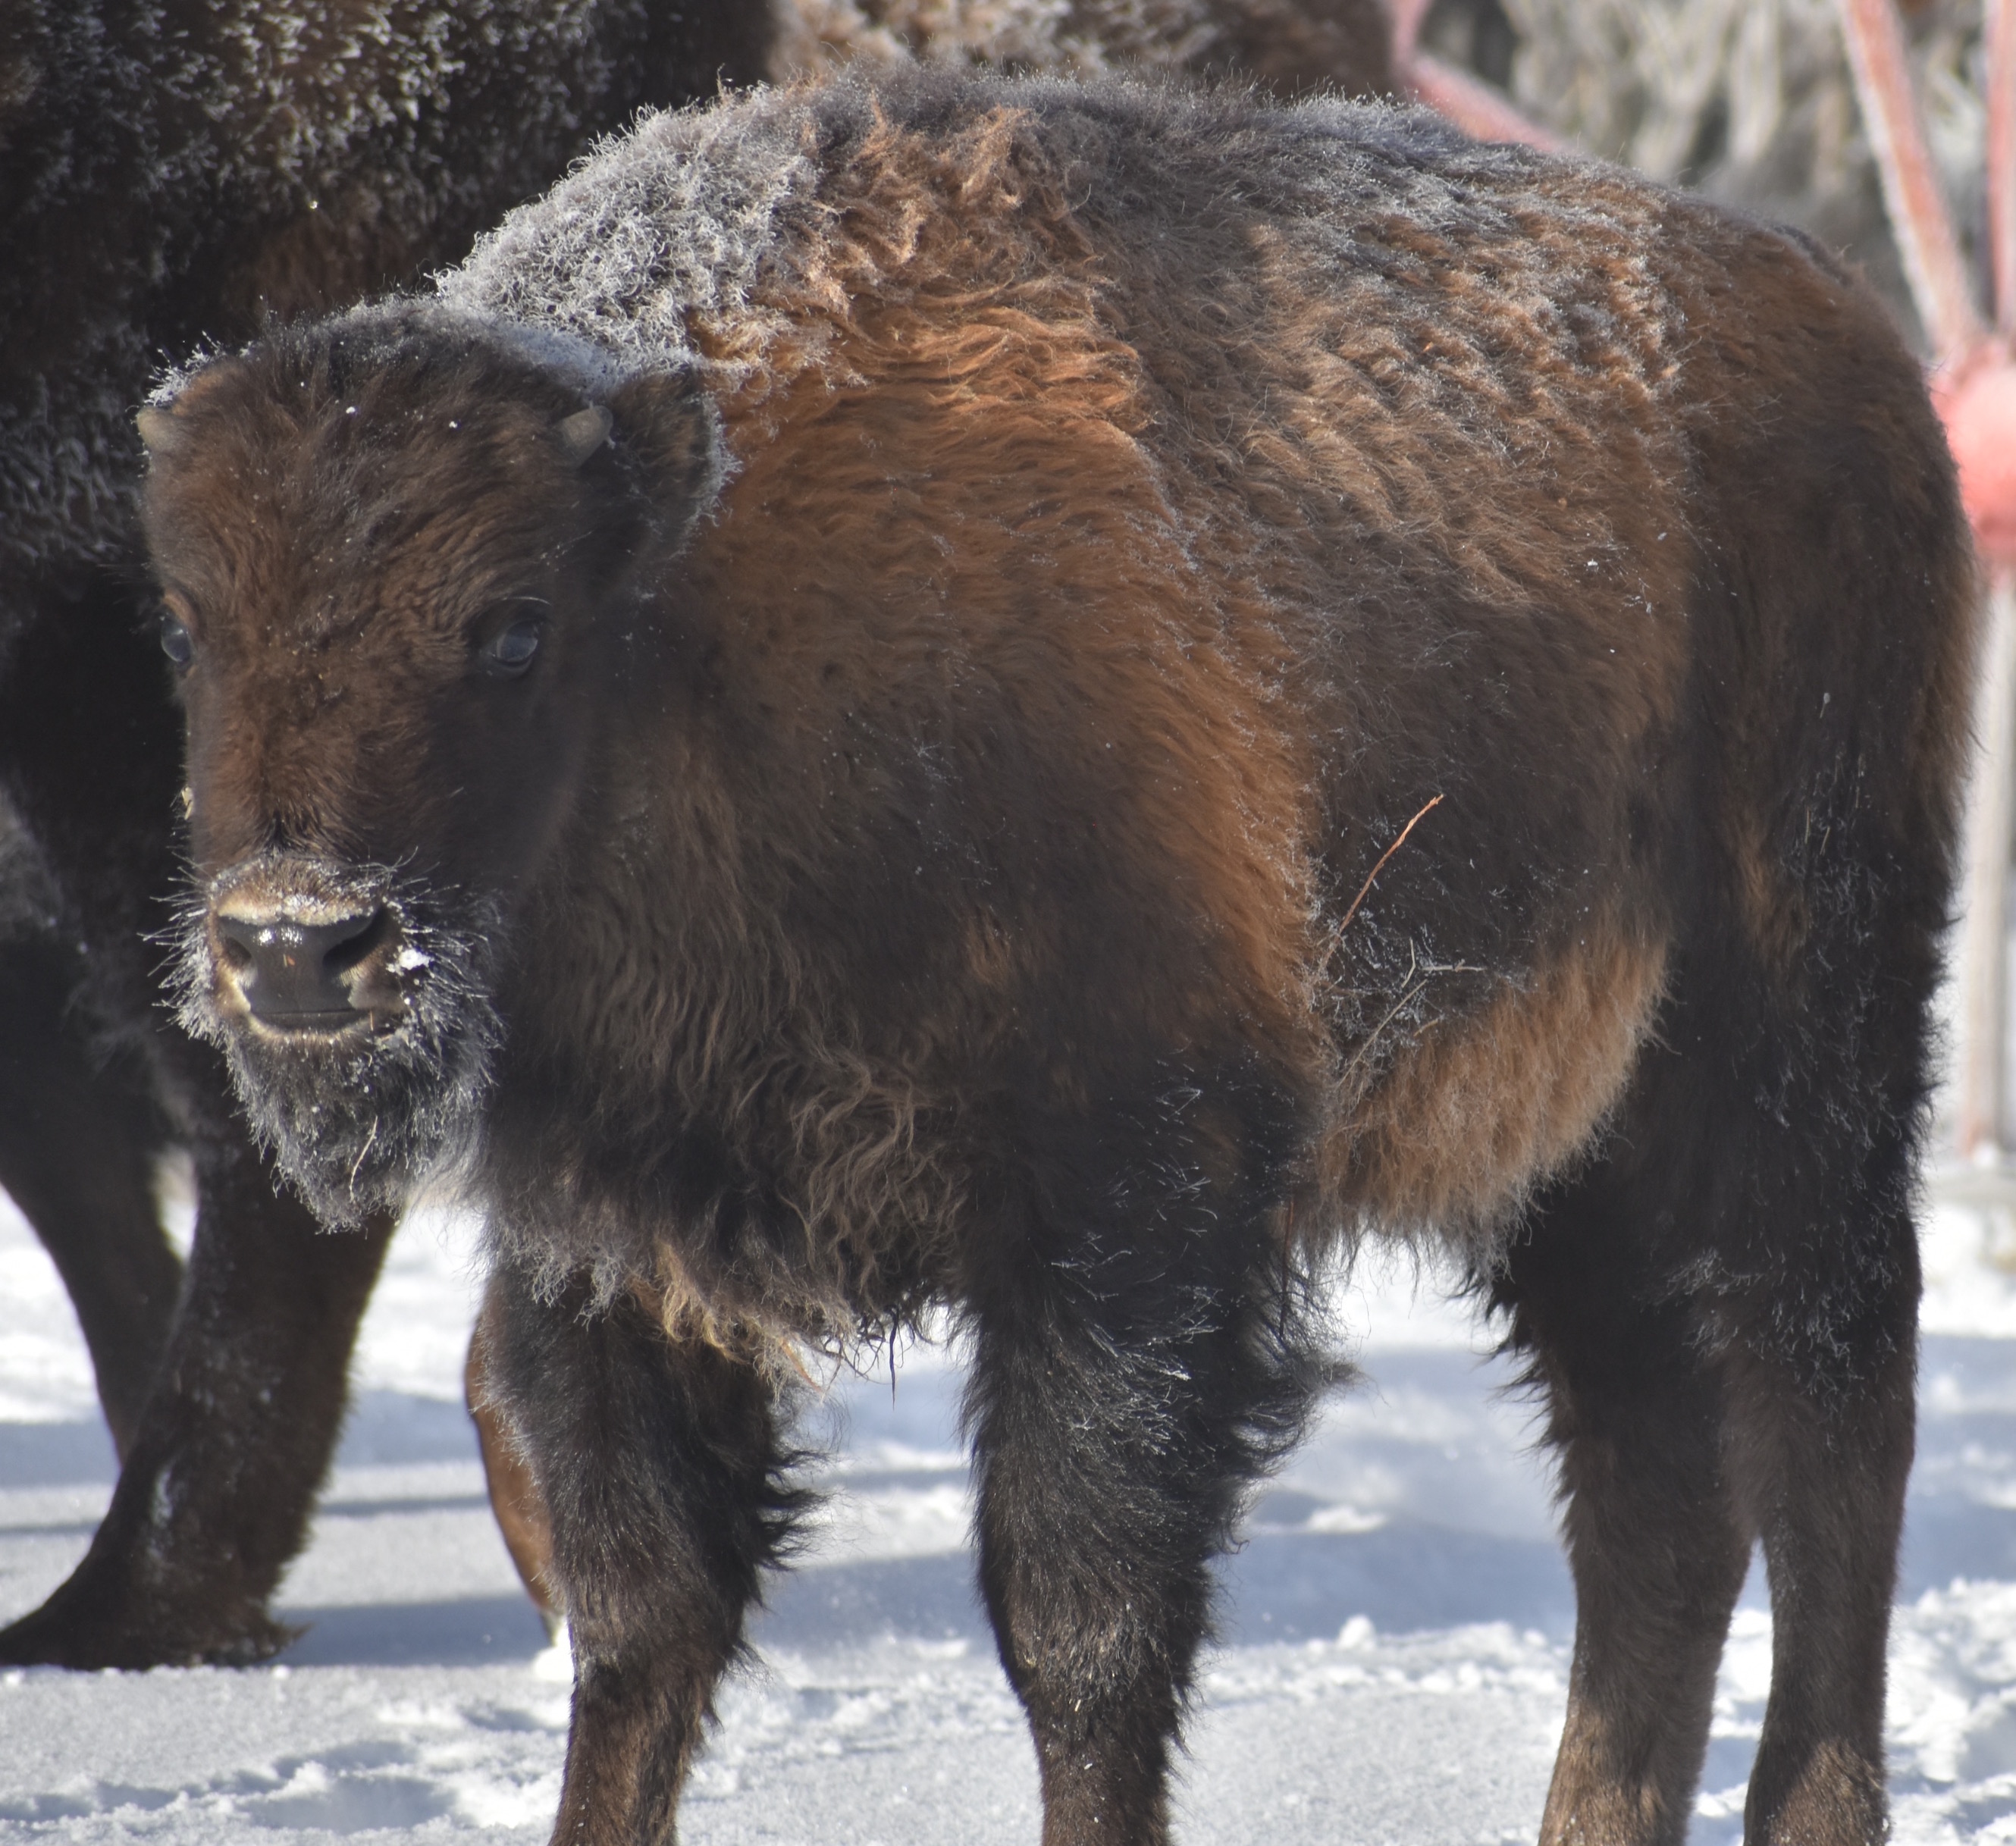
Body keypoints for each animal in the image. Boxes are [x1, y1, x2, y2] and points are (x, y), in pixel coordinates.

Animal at [139, 69, 1971, 1845]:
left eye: (514, 626)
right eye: (191, 621)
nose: (298, 944)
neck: (706, 612)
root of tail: (1846, 335)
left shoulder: (1128, 1215)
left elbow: (1079, 1629)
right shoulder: (609, 1250)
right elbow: (644, 1617)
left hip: (1803, 1042)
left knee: (1830, 1407)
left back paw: (1817, 1807)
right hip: (1566, 1149)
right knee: (1654, 1476)